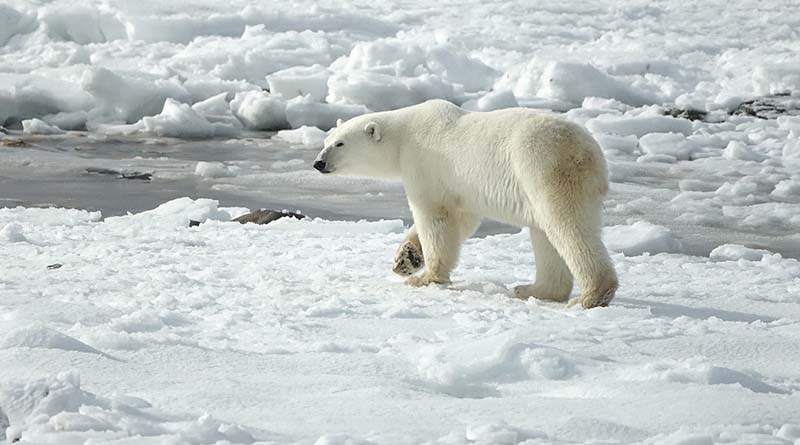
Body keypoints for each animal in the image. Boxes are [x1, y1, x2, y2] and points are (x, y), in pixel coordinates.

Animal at [312, 99, 620, 306]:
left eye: (340, 144)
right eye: (326, 140)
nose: (318, 163)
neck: (403, 136)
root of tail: (591, 153)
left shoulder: (425, 163)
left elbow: (434, 216)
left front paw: (425, 277)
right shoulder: (461, 187)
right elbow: (462, 219)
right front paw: (406, 259)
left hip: (544, 167)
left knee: (566, 226)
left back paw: (590, 296)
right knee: (545, 233)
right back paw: (532, 289)